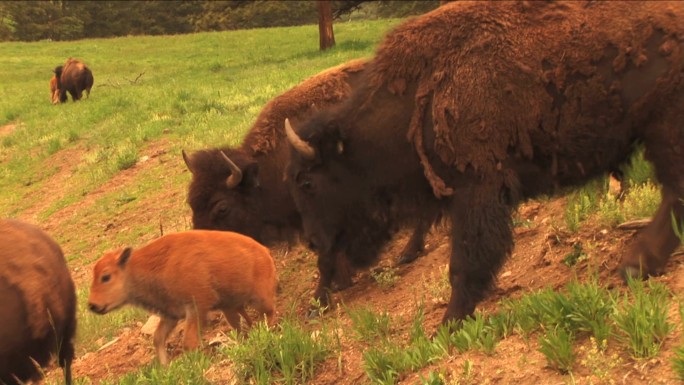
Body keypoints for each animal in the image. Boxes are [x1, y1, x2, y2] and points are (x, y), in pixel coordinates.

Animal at [87, 230, 276, 364]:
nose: (92, 305)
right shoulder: (171, 315)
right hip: (230, 305)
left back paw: (268, 332)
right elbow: (158, 338)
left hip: (258, 298)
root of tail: (264, 251)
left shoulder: (197, 307)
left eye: (106, 276)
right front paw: (165, 367)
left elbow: (188, 341)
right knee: (240, 321)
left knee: (269, 312)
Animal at [286, 1, 684, 322]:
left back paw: (635, 264)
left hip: (664, 129)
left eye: (307, 182)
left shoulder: (477, 189)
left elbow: (464, 262)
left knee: (674, 195)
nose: (314, 242)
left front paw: (450, 321)